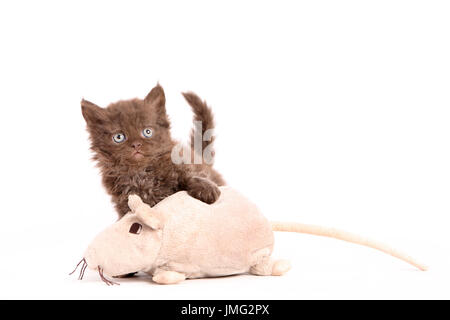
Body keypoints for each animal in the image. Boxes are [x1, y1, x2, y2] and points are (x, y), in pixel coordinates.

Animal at [81, 83, 225, 218]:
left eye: (147, 132)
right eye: (119, 137)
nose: (136, 145)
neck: (142, 175)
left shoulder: (182, 163)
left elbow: (191, 175)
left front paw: (206, 188)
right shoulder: (124, 202)